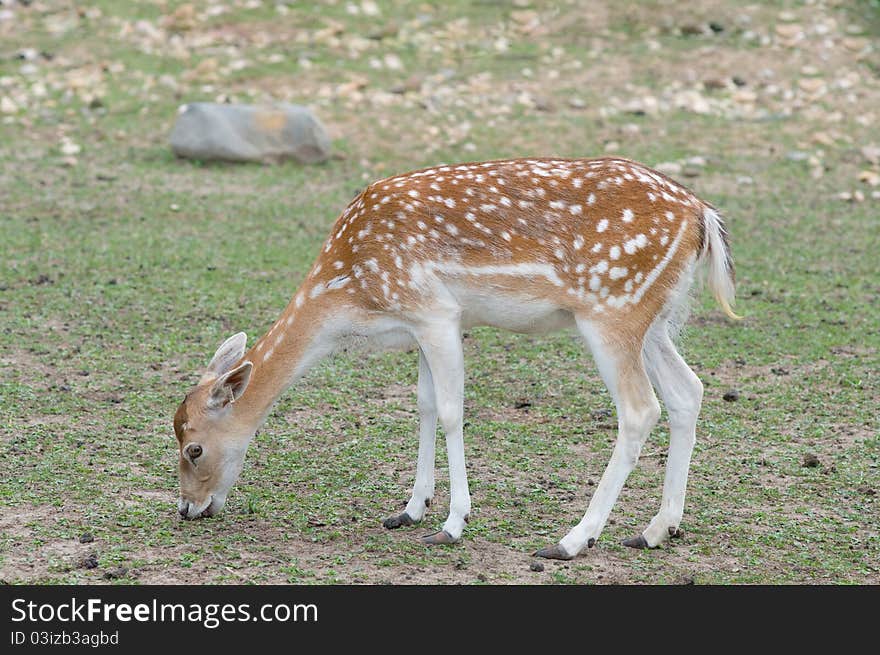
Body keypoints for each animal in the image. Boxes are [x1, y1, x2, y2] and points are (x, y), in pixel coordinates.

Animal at [172, 156, 736, 560]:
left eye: (193, 447)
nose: (188, 509)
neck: (349, 295)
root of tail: (703, 216)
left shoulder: (435, 311)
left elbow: (450, 412)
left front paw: (451, 524)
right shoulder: (426, 325)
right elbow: (422, 405)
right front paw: (409, 510)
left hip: (612, 311)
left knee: (640, 410)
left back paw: (572, 540)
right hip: (654, 319)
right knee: (688, 391)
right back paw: (656, 530)